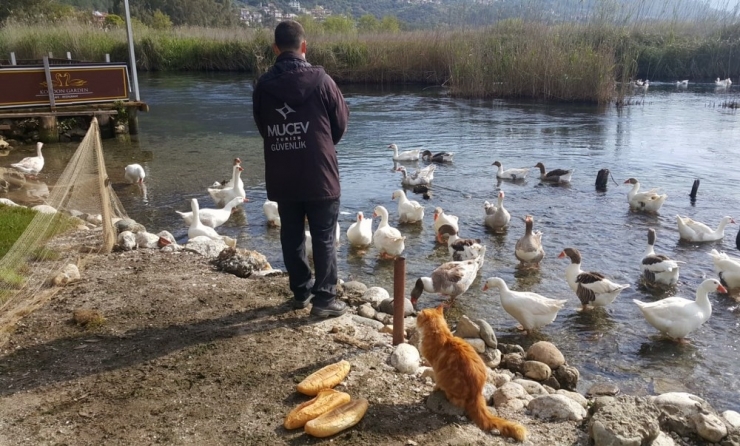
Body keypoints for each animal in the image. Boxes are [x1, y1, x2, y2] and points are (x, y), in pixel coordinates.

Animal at [416, 304, 528, 440]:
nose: (416, 319)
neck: (442, 334)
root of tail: (476, 393)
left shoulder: (434, 366)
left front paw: (435, 387)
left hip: (443, 378)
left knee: (455, 400)